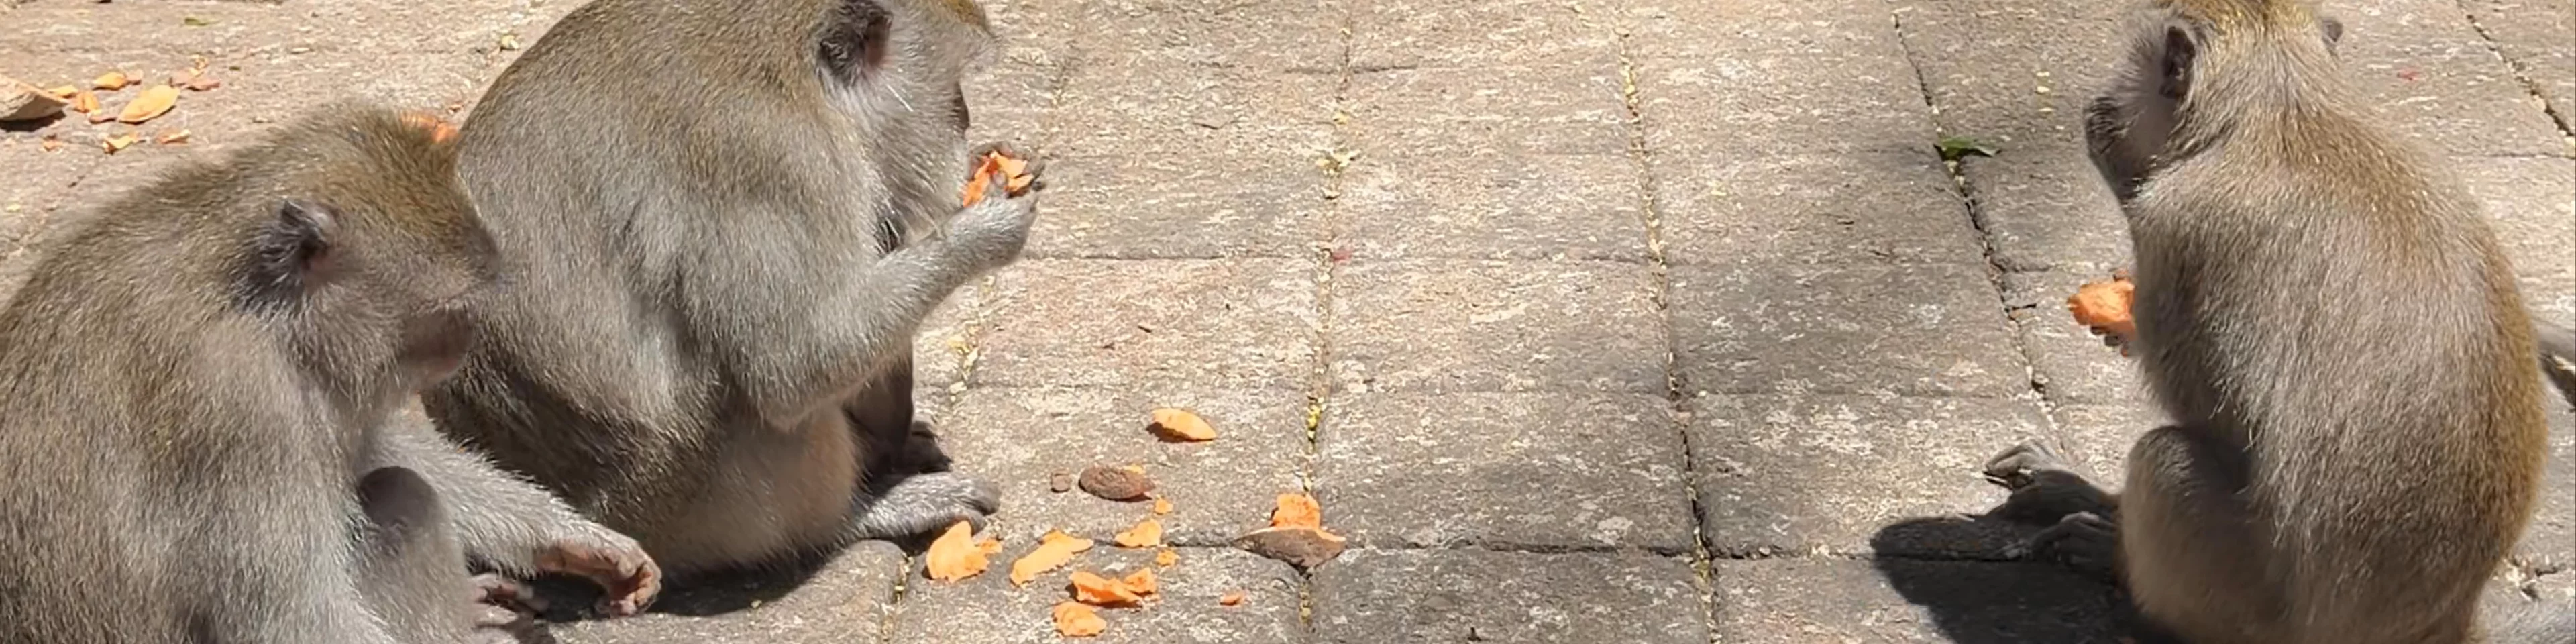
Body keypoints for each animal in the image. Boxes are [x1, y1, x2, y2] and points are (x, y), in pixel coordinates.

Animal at [0, 104, 657, 644]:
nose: (467, 343)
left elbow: (370, 447)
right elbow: (290, 618)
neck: (257, 304)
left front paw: (572, 539)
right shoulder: (240, 409)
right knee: (401, 495)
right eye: (450, 311)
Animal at [419, 0, 1038, 580]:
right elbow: (797, 366)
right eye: (952, 86)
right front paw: (984, 231)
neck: (801, 74)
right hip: (689, 512)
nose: (965, 118)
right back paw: (852, 516)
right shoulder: (777, 164)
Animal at [1976, 1, 2576, 643]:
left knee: (2165, 461)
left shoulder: (2175, 222)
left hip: (2249, 603)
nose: (2102, 103)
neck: (2286, 110)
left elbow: (2214, 417)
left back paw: (2116, 560)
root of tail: (2446, 621)